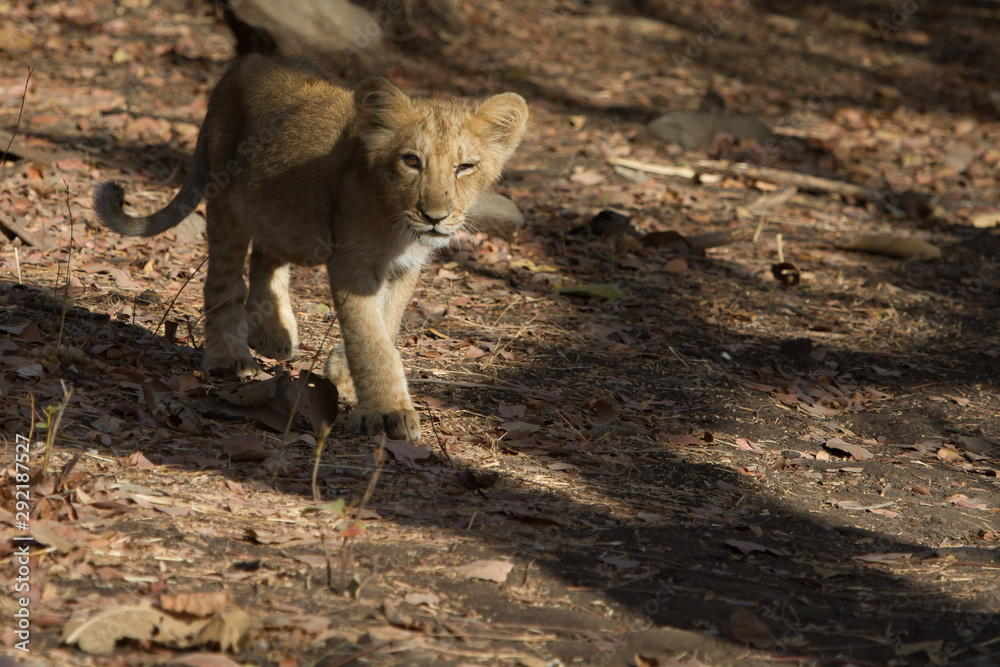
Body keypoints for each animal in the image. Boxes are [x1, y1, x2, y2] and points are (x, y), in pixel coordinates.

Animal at [93, 54, 528, 442]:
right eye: (411, 161)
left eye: (465, 167)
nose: (435, 217)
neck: (398, 225)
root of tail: (244, 62)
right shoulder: (352, 264)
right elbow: (371, 339)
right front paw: (387, 413)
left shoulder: (406, 268)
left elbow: (386, 324)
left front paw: (342, 374)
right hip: (226, 201)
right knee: (224, 278)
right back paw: (228, 356)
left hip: (281, 213)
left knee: (265, 257)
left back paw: (273, 333)